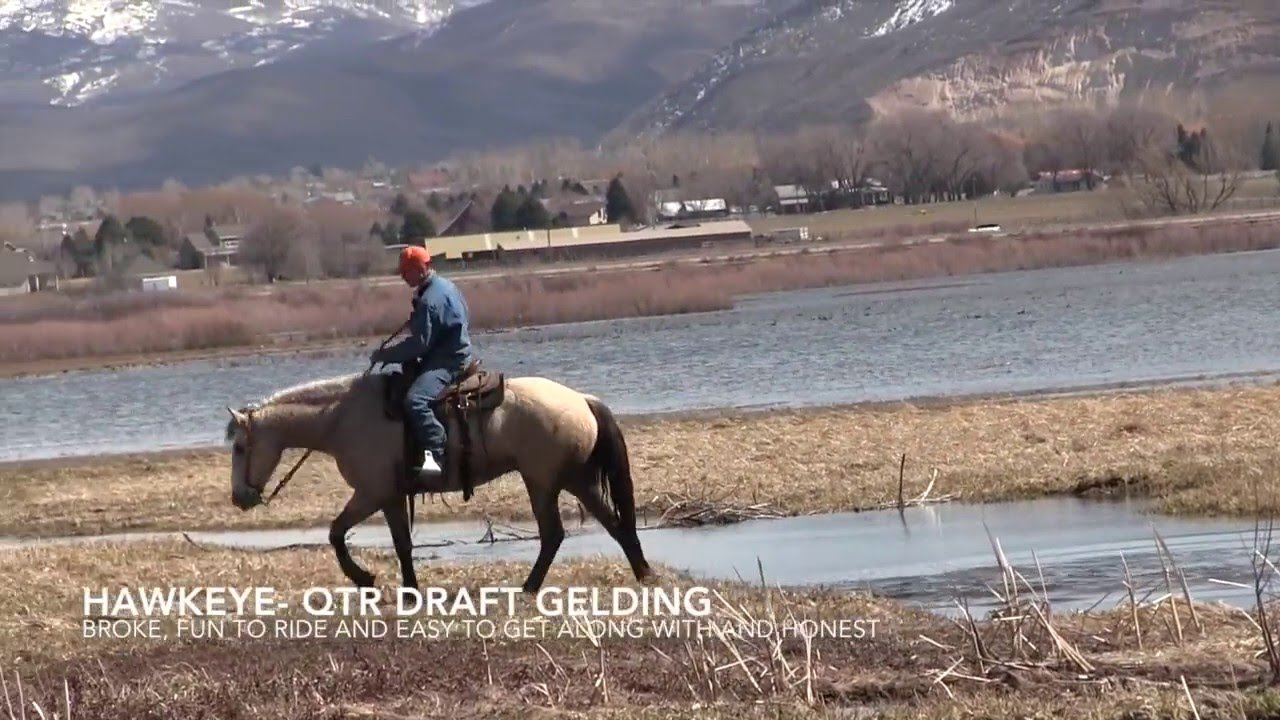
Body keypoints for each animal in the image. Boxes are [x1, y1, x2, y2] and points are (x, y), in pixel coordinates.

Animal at [222, 369, 655, 594]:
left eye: (241, 447)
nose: (239, 497)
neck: (341, 417)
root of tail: (582, 400)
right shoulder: (391, 497)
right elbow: (402, 544)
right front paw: (410, 590)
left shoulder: (371, 493)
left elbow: (335, 533)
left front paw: (365, 579)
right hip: (574, 478)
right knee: (614, 523)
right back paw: (643, 573)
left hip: (542, 481)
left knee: (553, 534)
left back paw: (529, 587)